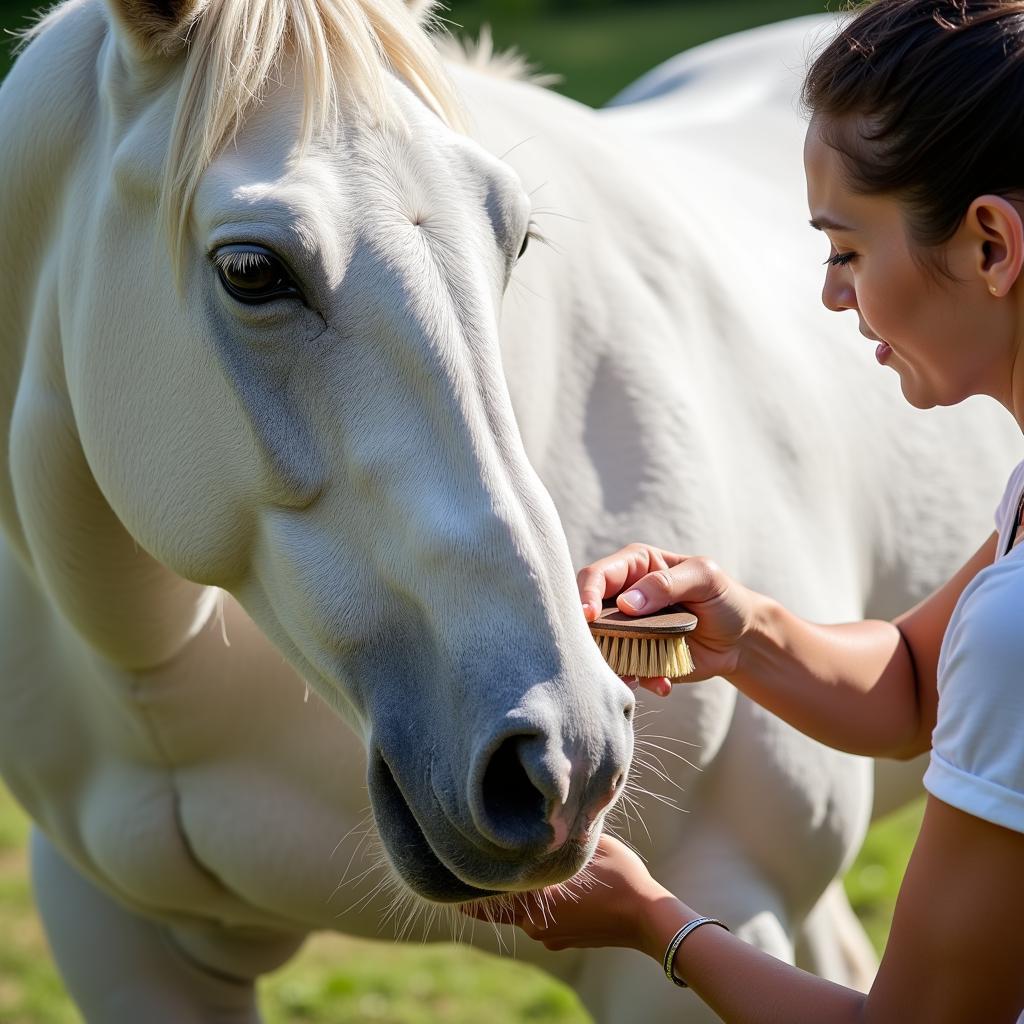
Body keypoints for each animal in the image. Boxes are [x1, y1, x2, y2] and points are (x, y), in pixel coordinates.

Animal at [2, 2, 1015, 1024]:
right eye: (250, 269)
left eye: (516, 236)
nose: (568, 758)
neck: (165, 678)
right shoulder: (124, 942)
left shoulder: (718, 904)